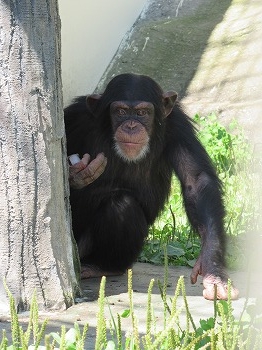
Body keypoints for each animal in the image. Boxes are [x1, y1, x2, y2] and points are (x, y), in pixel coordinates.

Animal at [64, 72, 239, 300]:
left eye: (142, 112)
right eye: (120, 111)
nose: (131, 126)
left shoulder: (177, 125)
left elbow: (196, 181)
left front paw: (213, 270)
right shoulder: (74, 118)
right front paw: (77, 175)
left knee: (121, 205)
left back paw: (104, 266)